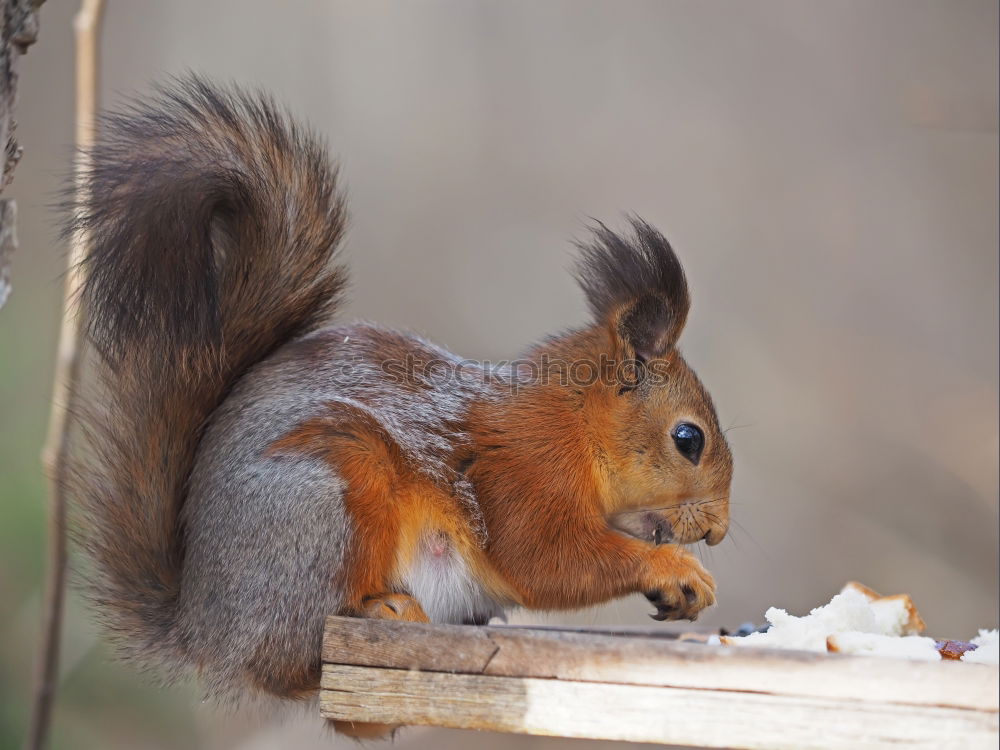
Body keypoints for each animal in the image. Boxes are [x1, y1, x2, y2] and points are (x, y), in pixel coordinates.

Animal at [66, 76, 732, 736]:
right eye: (689, 439)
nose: (719, 531)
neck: (575, 423)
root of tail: (202, 627)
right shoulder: (522, 469)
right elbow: (549, 561)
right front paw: (676, 571)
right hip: (324, 502)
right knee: (286, 662)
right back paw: (378, 609)